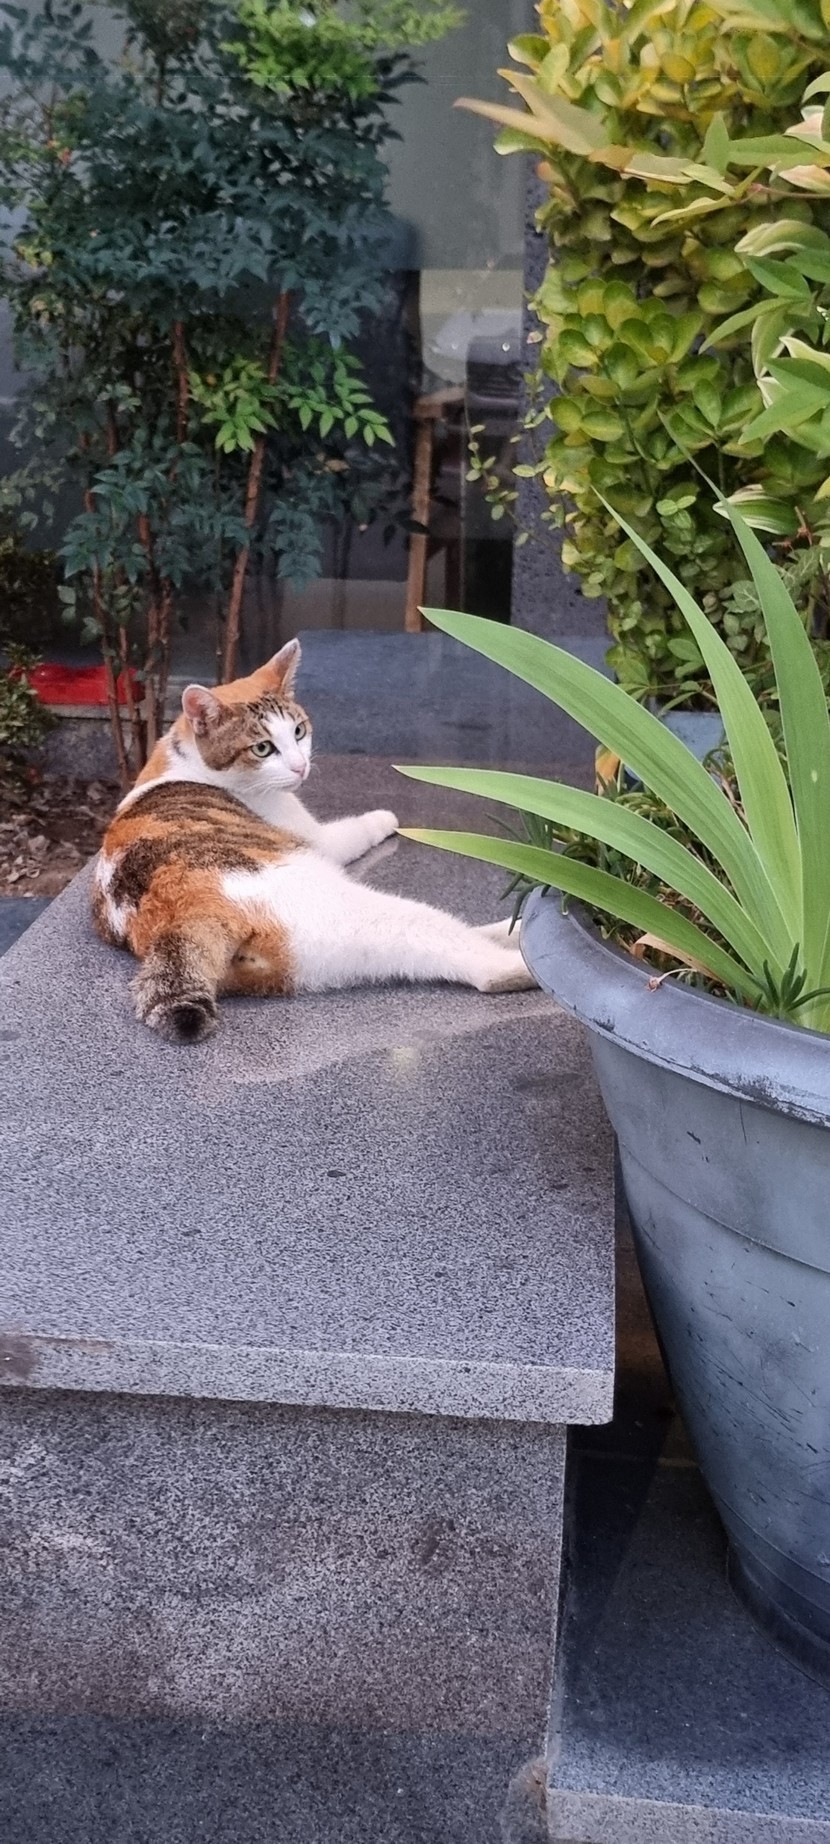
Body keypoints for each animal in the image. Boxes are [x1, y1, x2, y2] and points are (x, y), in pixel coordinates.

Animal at [92, 639, 535, 1043]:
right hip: (354, 911)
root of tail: (183, 914)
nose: (300, 765)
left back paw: (512, 931)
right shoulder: (314, 836)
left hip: (318, 958)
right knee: (473, 959)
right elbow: (353, 830)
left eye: (299, 731)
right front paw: (385, 818)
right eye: (263, 748)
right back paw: (524, 962)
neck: (187, 763)